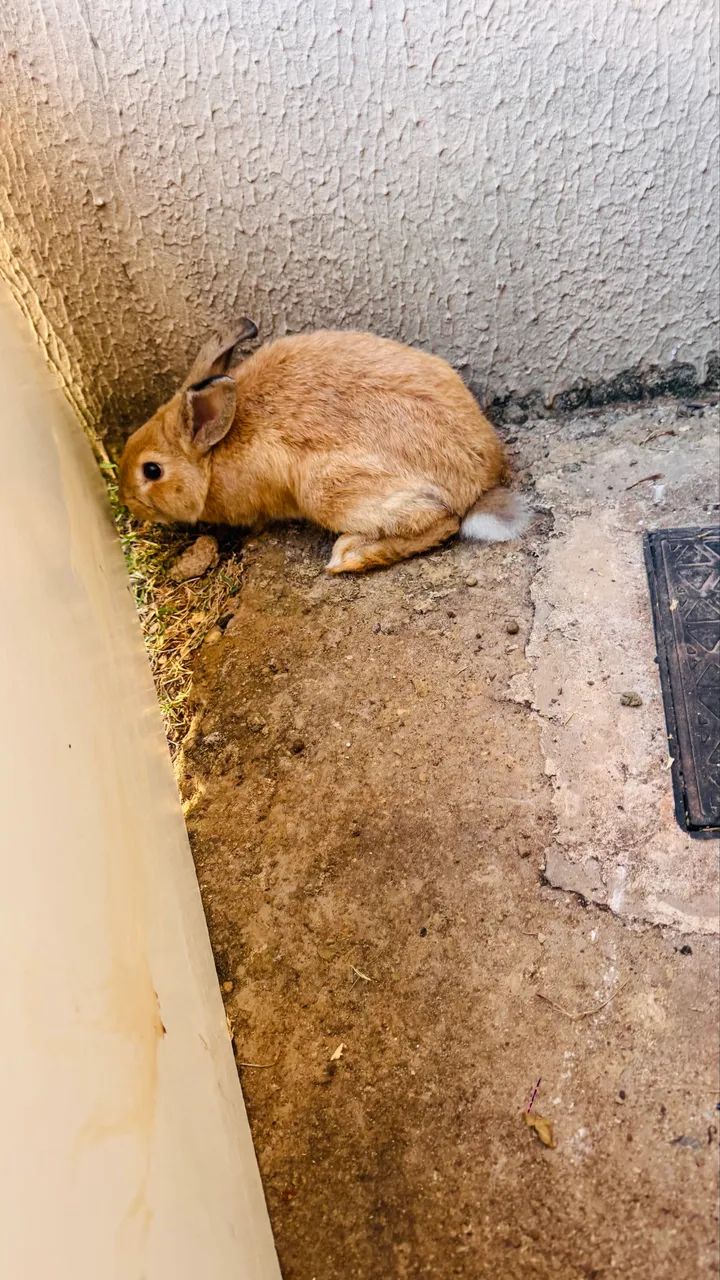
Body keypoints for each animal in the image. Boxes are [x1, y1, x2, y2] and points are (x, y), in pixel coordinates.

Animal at [118, 321, 529, 573]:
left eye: (152, 470)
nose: (128, 502)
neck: (211, 455)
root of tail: (480, 480)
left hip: (327, 490)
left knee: (441, 521)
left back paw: (349, 556)